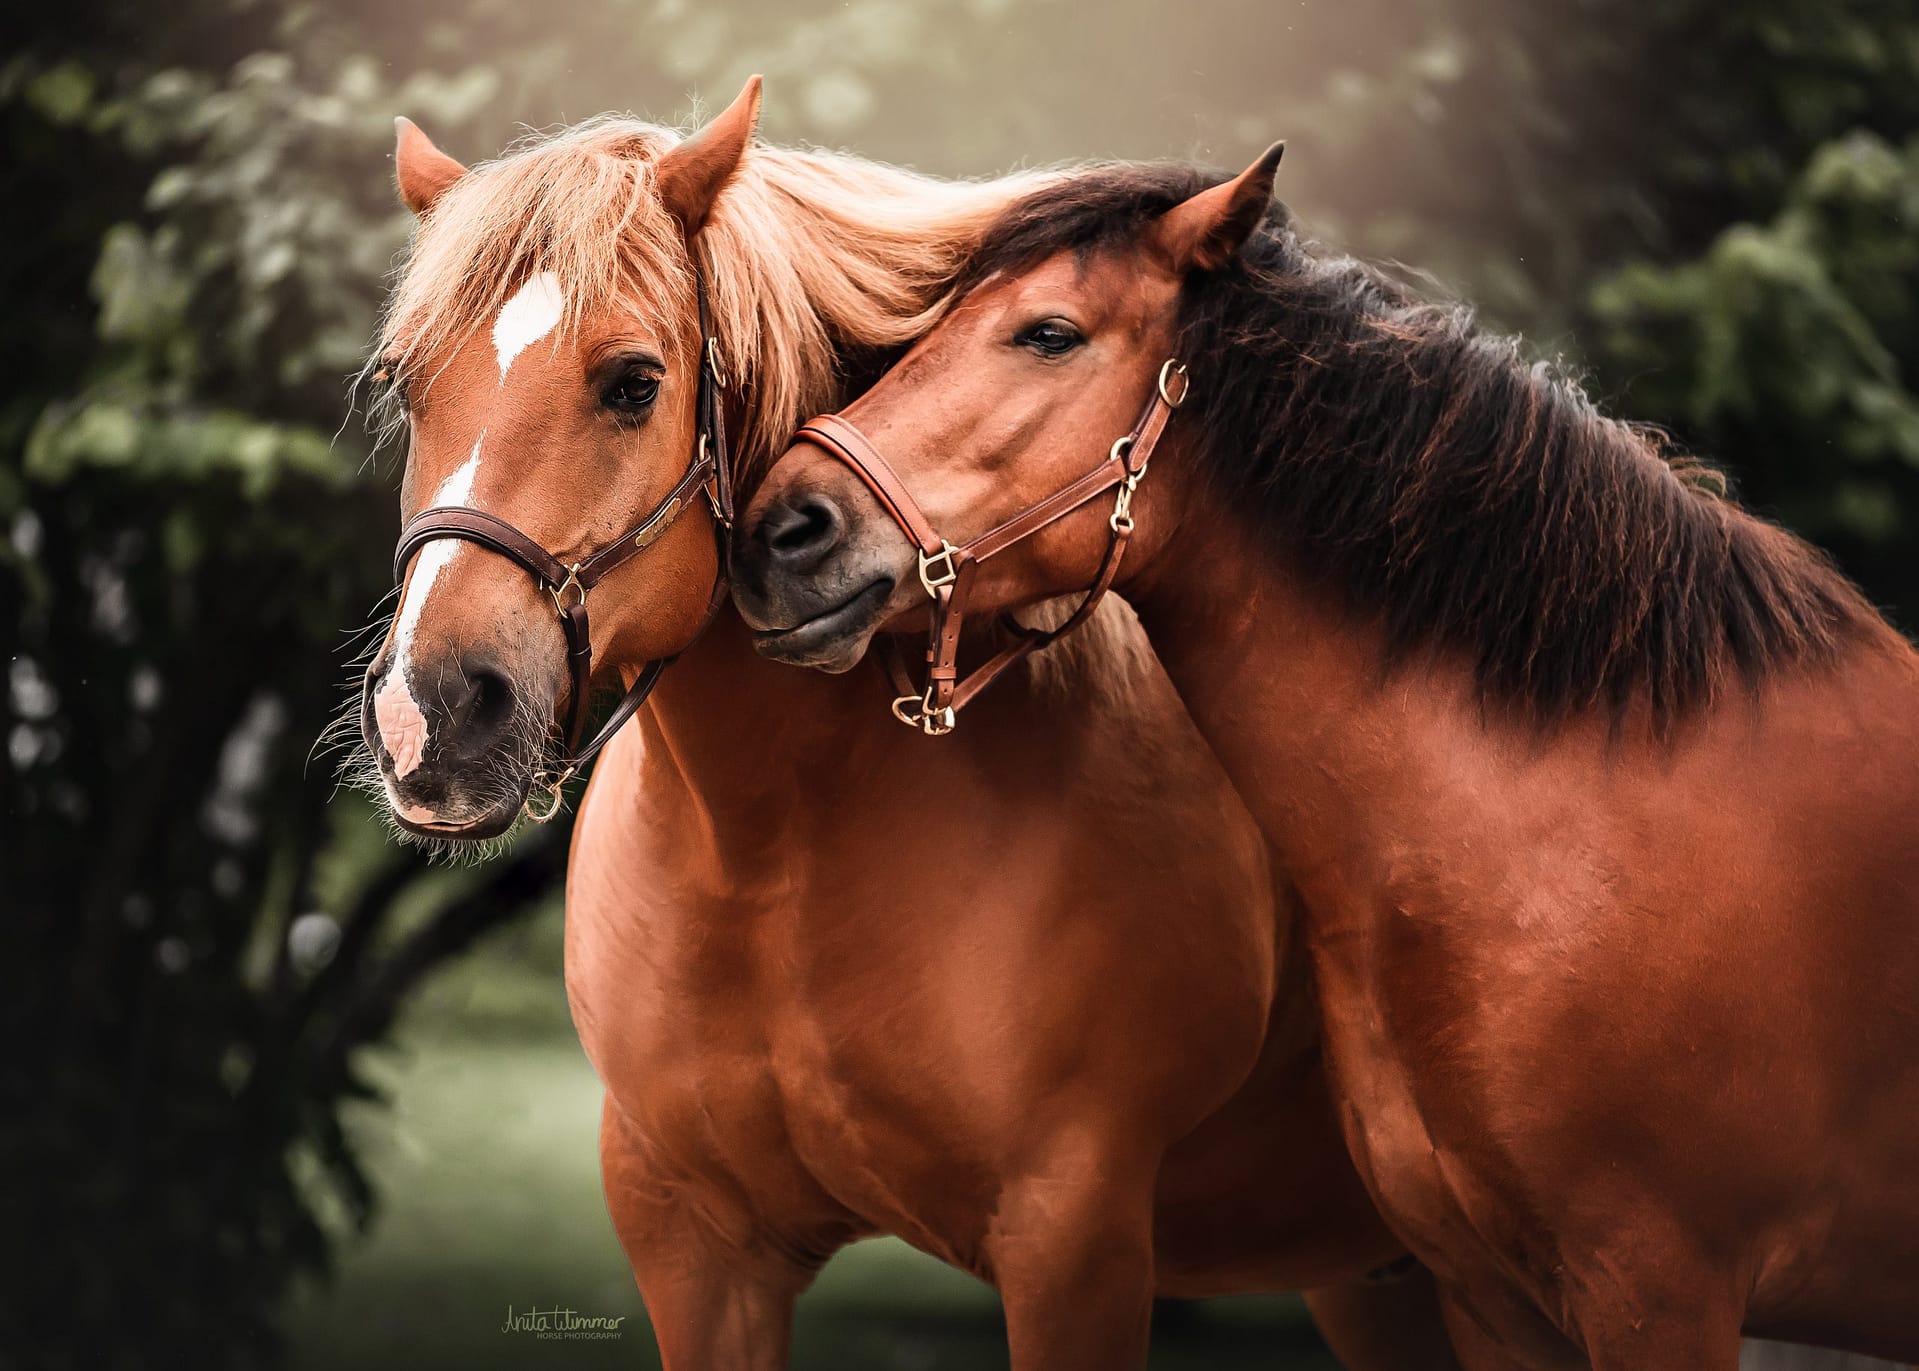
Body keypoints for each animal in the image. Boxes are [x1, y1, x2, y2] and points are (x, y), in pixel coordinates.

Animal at [350, 82, 1466, 1369]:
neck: (772, 855)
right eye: (404, 384)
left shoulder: (1071, 1245)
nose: (429, 710)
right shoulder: (694, 1246)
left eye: (631, 381)